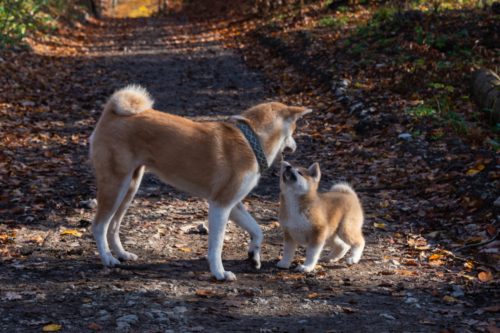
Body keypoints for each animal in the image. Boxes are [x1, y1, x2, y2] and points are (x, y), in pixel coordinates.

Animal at [89, 85, 308, 280]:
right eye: (295, 129)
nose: (297, 145)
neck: (251, 142)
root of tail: (111, 112)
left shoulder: (233, 204)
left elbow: (257, 230)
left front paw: (254, 255)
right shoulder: (221, 205)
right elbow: (217, 245)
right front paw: (219, 273)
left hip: (130, 187)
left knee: (113, 226)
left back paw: (122, 254)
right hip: (116, 185)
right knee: (99, 225)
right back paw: (108, 259)